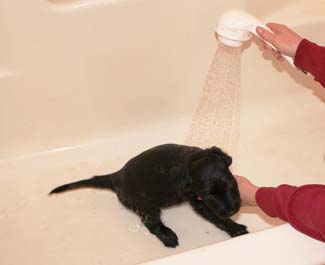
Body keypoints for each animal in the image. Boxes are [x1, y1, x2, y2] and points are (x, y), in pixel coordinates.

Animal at [50, 143, 248, 246]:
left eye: (231, 184)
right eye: (210, 196)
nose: (232, 210)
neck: (191, 159)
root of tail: (117, 176)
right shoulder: (198, 201)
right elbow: (217, 217)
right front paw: (235, 228)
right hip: (146, 204)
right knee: (150, 223)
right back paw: (168, 237)